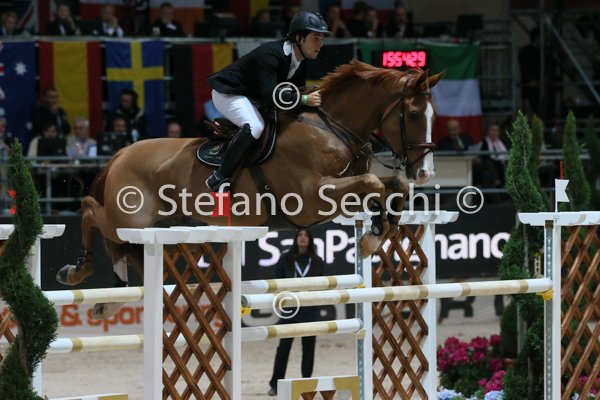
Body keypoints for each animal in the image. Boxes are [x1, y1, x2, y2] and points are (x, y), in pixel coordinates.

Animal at [58, 60, 444, 318]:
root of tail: (121, 153)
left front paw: (377, 231)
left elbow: (391, 185)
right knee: (90, 209)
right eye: (413, 115)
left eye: (434, 117)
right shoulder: (311, 197)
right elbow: (373, 182)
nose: (425, 172)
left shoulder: (341, 196)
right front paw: (373, 237)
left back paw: (111, 297)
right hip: (128, 217)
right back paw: (77, 270)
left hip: (148, 225)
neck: (333, 128)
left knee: (127, 250)